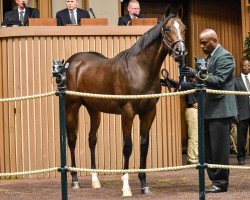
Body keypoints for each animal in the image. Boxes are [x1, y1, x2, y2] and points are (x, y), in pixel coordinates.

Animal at [60, 3, 187, 196]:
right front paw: (126, 186)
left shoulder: (149, 112)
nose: (180, 52)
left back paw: (95, 180)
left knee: (92, 139)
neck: (140, 69)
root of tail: (72, 62)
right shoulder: (127, 112)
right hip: (72, 107)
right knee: (72, 139)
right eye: (167, 29)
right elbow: (128, 146)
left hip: (94, 109)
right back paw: (74, 180)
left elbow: (144, 145)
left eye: (183, 28)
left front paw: (144, 184)